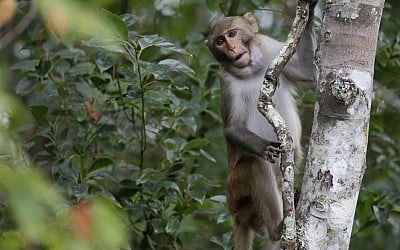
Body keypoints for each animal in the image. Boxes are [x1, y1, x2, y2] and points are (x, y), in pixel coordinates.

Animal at [206, 2, 316, 250]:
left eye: (232, 34)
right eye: (220, 41)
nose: (231, 48)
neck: (251, 70)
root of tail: (237, 216)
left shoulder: (270, 49)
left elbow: (306, 70)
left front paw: (312, 10)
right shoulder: (226, 81)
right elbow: (232, 128)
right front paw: (263, 146)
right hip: (236, 193)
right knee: (256, 165)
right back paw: (277, 228)